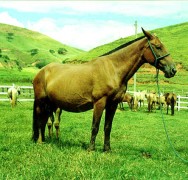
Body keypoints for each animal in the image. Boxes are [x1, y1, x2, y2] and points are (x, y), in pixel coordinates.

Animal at [32, 27, 176, 152]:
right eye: (158, 47)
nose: (173, 70)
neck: (113, 69)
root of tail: (41, 72)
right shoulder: (99, 103)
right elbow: (95, 126)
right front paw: (91, 149)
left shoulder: (113, 104)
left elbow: (108, 127)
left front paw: (107, 149)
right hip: (41, 102)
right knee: (40, 119)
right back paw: (40, 141)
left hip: (50, 103)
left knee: (45, 121)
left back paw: (44, 139)